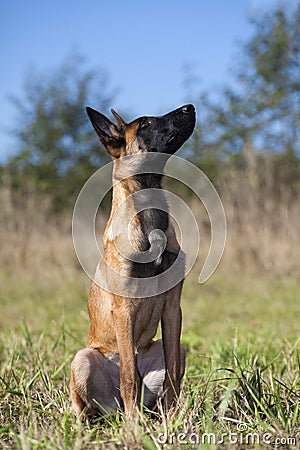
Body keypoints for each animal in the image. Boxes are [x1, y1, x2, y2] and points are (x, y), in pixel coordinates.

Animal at [69, 103, 196, 418]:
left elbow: (172, 371)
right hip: (82, 359)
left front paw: (173, 419)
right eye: (145, 123)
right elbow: (128, 375)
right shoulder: (124, 310)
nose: (190, 107)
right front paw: (134, 426)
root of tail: (112, 408)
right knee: (85, 406)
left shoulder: (173, 308)